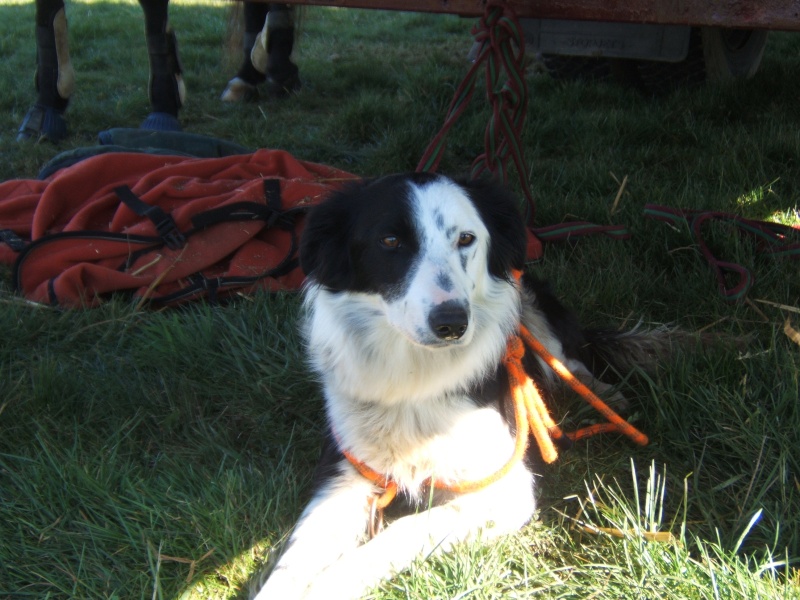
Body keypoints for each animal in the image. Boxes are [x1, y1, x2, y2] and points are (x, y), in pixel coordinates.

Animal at [255, 171, 656, 596]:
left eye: (466, 238)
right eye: (390, 241)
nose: (451, 322)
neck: (414, 376)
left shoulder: (506, 487)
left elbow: (402, 531)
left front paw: (330, 583)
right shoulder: (343, 471)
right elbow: (293, 561)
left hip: (533, 304)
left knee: (568, 359)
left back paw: (605, 396)